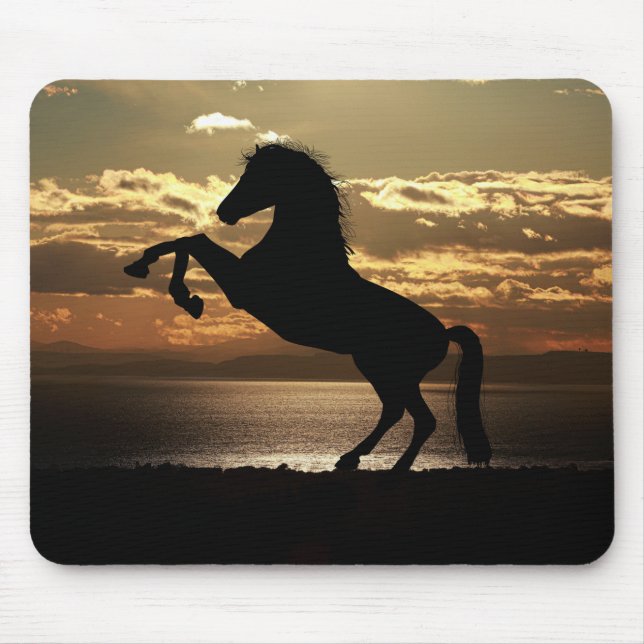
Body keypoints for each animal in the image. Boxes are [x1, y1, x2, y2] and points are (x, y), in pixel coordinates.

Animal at [124, 141, 492, 470]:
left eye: (257, 175)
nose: (223, 212)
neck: (298, 250)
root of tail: (443, 333)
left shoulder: (242, 288)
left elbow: (192, 241)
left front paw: (182, 295)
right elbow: (186, 241)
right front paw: (148, 271)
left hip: (387, 370)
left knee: (414, 416)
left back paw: (386, 465)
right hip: (385, 371)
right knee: (398, 412)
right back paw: (352, 458)